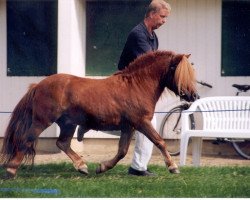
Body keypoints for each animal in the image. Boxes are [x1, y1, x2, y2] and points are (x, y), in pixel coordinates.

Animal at [0, 50, 197, 179]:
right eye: (181, 74)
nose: (193, 96)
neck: (136, 86)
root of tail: (38, 86)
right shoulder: (141, 122)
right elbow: (159, 141)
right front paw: (173, 167)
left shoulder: (128, 127)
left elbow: (122, 151)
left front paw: (102, 167)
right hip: (42, 121)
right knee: (26, 139)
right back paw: (11, 170)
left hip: (68, 124)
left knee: (62, 143)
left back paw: (82, 166)